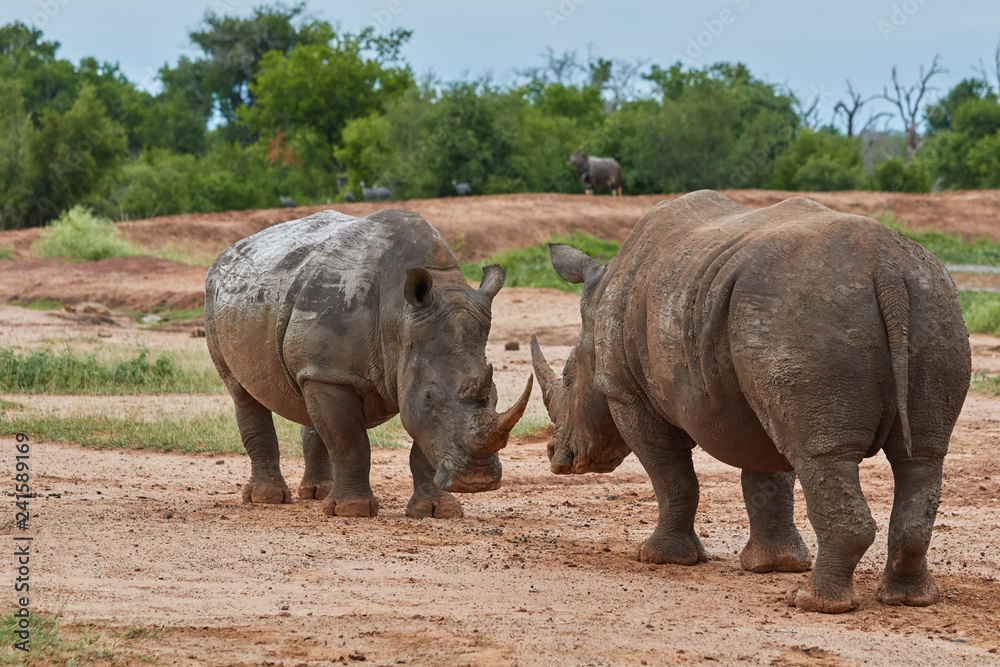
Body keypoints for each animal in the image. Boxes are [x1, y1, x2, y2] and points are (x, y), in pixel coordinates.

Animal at [205, 209, 532, 518]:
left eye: (494, 395)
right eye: (429, 397)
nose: (477, 481)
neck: (398, 319)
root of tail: (229, 251)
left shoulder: (372, 371)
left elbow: (421, 445)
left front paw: (438, 511)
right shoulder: (337, 374)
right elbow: (350, 443)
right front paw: (352, 510)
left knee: (307, 395)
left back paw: (318, 493)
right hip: (217, 300)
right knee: (241, 391)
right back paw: (267, 497)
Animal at [531, 191, 970, 613]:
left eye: (566, 378)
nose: (556, 456)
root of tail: (886, 269)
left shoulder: (627, 395)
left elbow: (671, 477)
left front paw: (659, 559)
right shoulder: (755, 388)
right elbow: (767, 476)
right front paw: (773, 565)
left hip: (803, 310)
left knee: (821, 455)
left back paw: (813, 604)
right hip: (931, 302)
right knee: (921, 457)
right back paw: (909, 599)